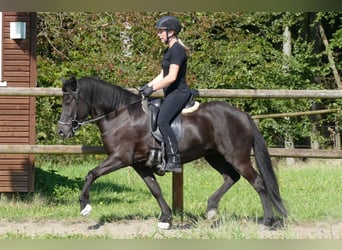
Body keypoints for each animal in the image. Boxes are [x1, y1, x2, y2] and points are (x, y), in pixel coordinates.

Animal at [57, 76, 288, 229]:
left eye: (68, 101)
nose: (61, 131)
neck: (121, 116)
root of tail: (243, 115)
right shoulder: (139, 164)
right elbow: (155, 189)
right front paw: (166, 218)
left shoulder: (120, 158)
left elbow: (91, 174)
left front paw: (85, 206)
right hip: (213, 155)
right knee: (231, 177)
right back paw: (211, 209)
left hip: (236, 156)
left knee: (258, 182)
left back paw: (267, 221)